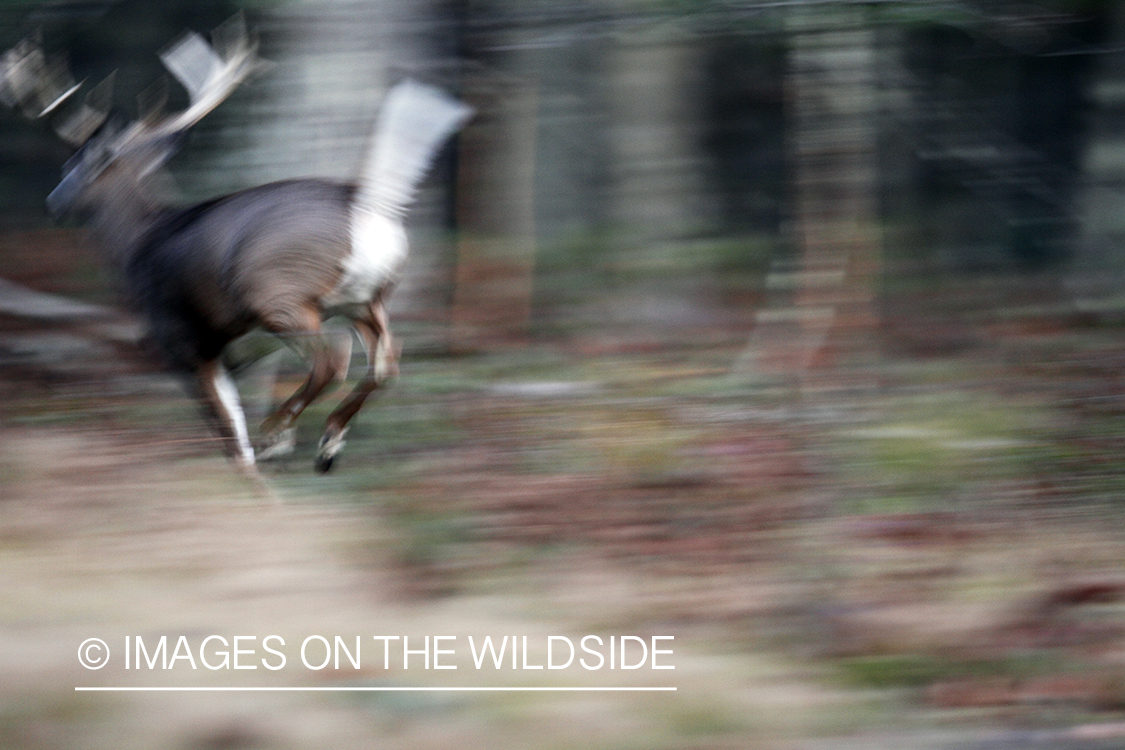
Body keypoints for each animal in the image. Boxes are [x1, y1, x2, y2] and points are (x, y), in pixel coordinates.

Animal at [1, 16, 474, 474]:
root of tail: (365, 201)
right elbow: (235, 416)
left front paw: (253, 464)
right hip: (367, 299)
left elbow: (226, 427)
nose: (53, 203)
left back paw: (279, 435)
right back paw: (326, 443)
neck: (139, 242)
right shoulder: (224, 345)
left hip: (279, 294)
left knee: (334, 359)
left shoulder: (179, 336)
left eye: (73, 165)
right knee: (387, 361)